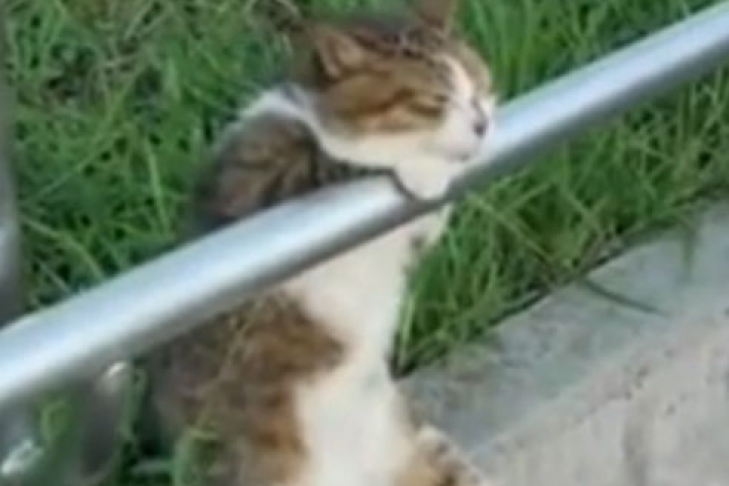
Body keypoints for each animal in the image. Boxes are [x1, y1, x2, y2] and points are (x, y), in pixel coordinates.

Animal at [146, 0, 497, 485]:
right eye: (434, 101)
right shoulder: (259, 187)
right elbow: (338, 161)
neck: (311, 115)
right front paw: (419, 166)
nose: (482, 123)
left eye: (477, 87)